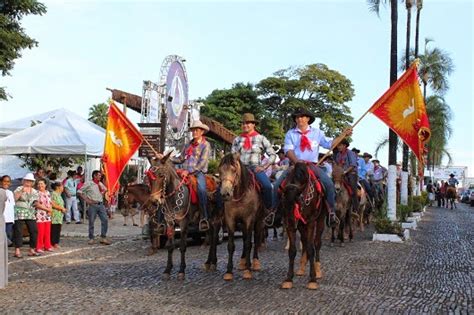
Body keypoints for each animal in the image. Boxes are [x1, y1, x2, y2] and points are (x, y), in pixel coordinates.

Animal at [219, 153, 266, 282]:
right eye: (220, 170)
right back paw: (243, 262)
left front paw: (248, 271)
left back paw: (255, 262)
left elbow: (250, 244)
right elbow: (231, 245)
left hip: (259, 221)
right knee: (245, 239)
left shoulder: (249, 219)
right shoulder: (230, 219)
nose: (225, 194)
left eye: (234, 170)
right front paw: (229, 272)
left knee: (256, 239)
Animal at [280, 163, 328, 292]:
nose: (289, 217)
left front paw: (313, 280)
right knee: (305, 241)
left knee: (316, 243)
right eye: (283, 200)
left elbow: (311, 249)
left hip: (320, 220)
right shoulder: (291, 225)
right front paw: (288, 279)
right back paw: (301, 268)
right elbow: (292, 250)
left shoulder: (311, 222)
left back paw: (318, 270)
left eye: (297, 199)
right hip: (301, 225)